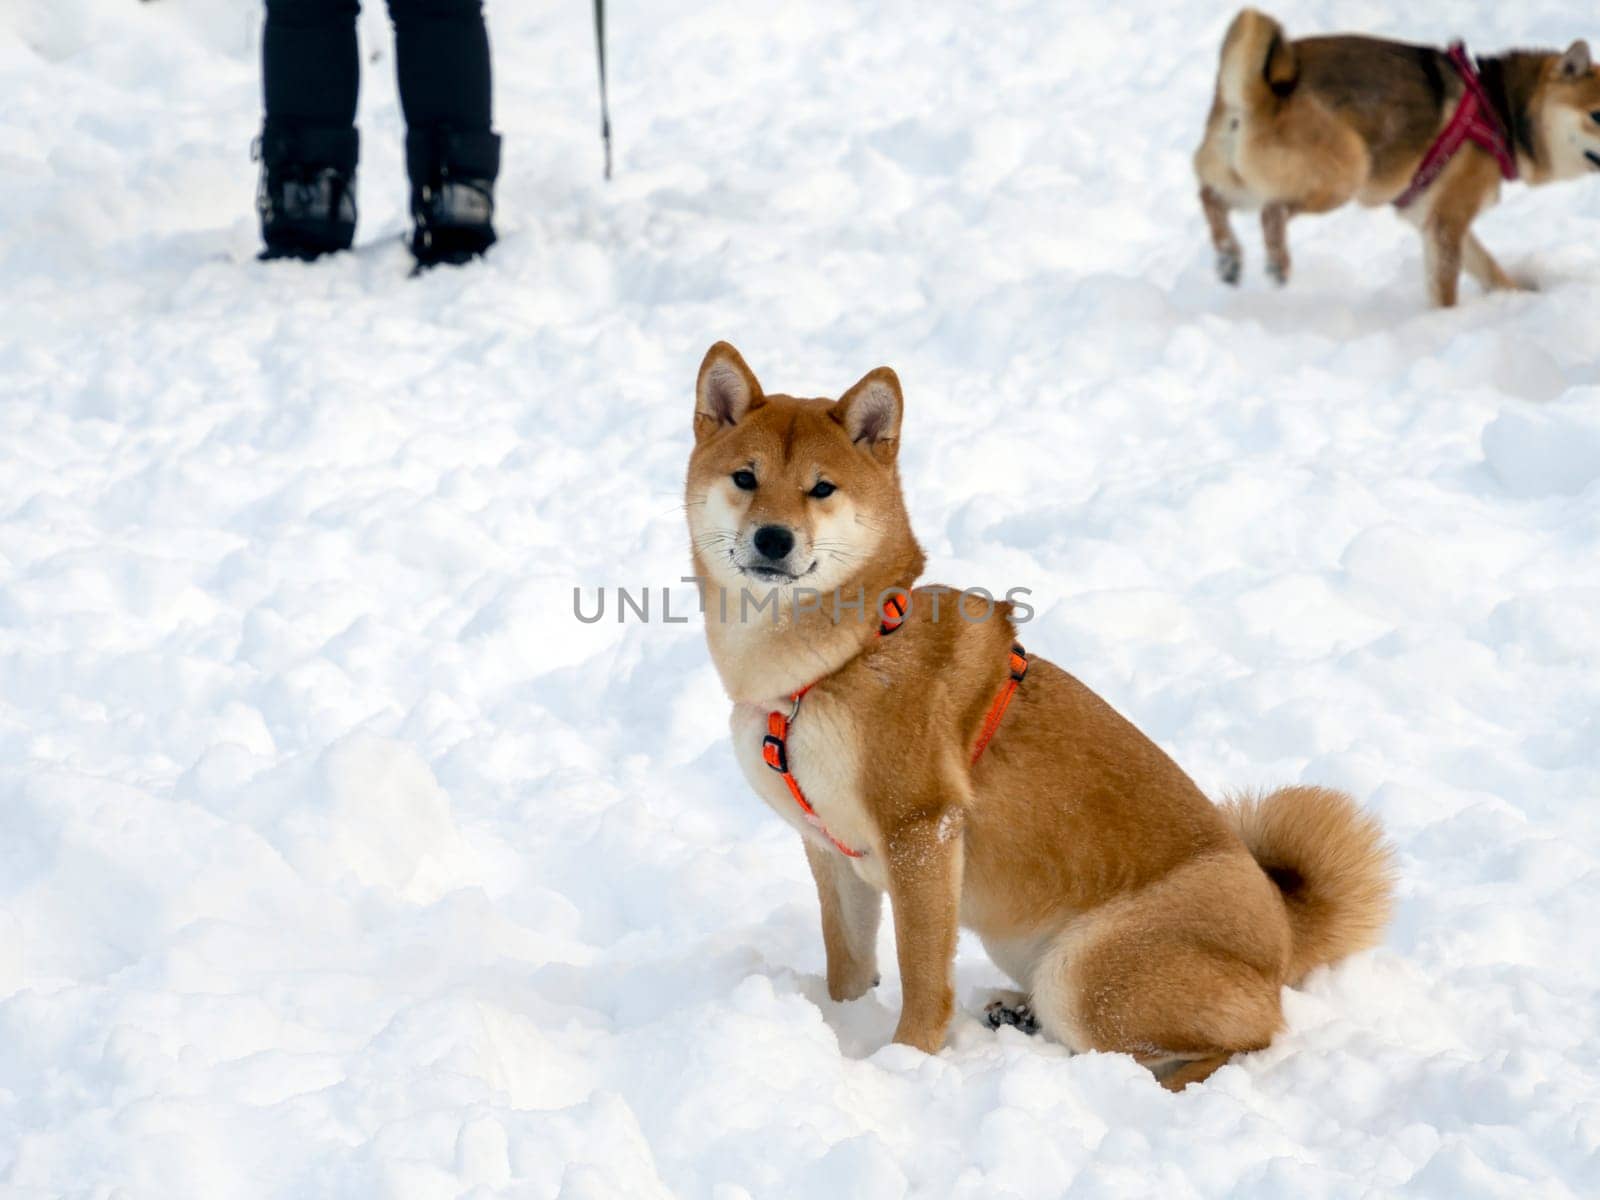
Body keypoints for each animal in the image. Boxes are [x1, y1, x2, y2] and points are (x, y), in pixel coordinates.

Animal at [681, 342, 1395, 1094]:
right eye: (745, 477)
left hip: (1086, 974)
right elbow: (848, 964)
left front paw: (904, 1062)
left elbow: (922, 978)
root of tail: (1283, 934)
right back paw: (1016, 1013)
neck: (841, 659)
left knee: (1245, 1039)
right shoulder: (829, 849)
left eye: (822, 489)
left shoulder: (922, 833)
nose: (773, 539)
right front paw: (839, 1030)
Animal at [1196, 8, 1600, 305]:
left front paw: (1518, 298)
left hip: (1245, 182)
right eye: (1596, 115)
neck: (1496, 109)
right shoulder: (1447, 222)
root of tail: (1254, 96)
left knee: (1211, 197)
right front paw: (1445, 324)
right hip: (1344, 173)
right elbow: (1446, 287)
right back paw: (1277, 263)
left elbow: (1490, 269)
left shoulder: (1431, 218)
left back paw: (1229, 257)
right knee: (1272, 212)